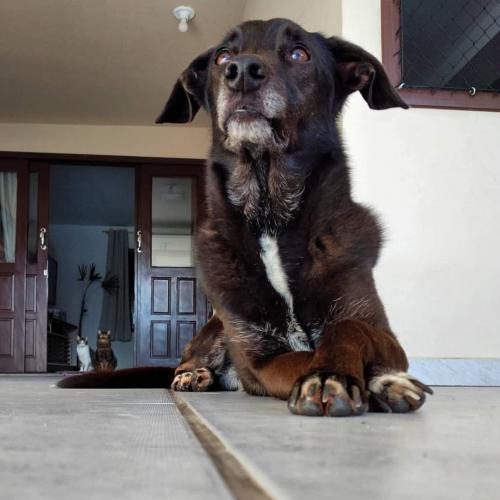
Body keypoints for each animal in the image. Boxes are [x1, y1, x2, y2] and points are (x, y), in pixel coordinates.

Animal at [60, 18, 432, 416]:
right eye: (223, 56)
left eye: (299, 53)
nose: (240, 73)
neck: (271, 218)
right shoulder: (261, 359)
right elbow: (306, 356)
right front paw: (331, 375)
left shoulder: (383, 333)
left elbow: (349, 329)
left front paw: (371, 378)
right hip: (217, 326)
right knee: (184, 362)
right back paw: (193, 375)